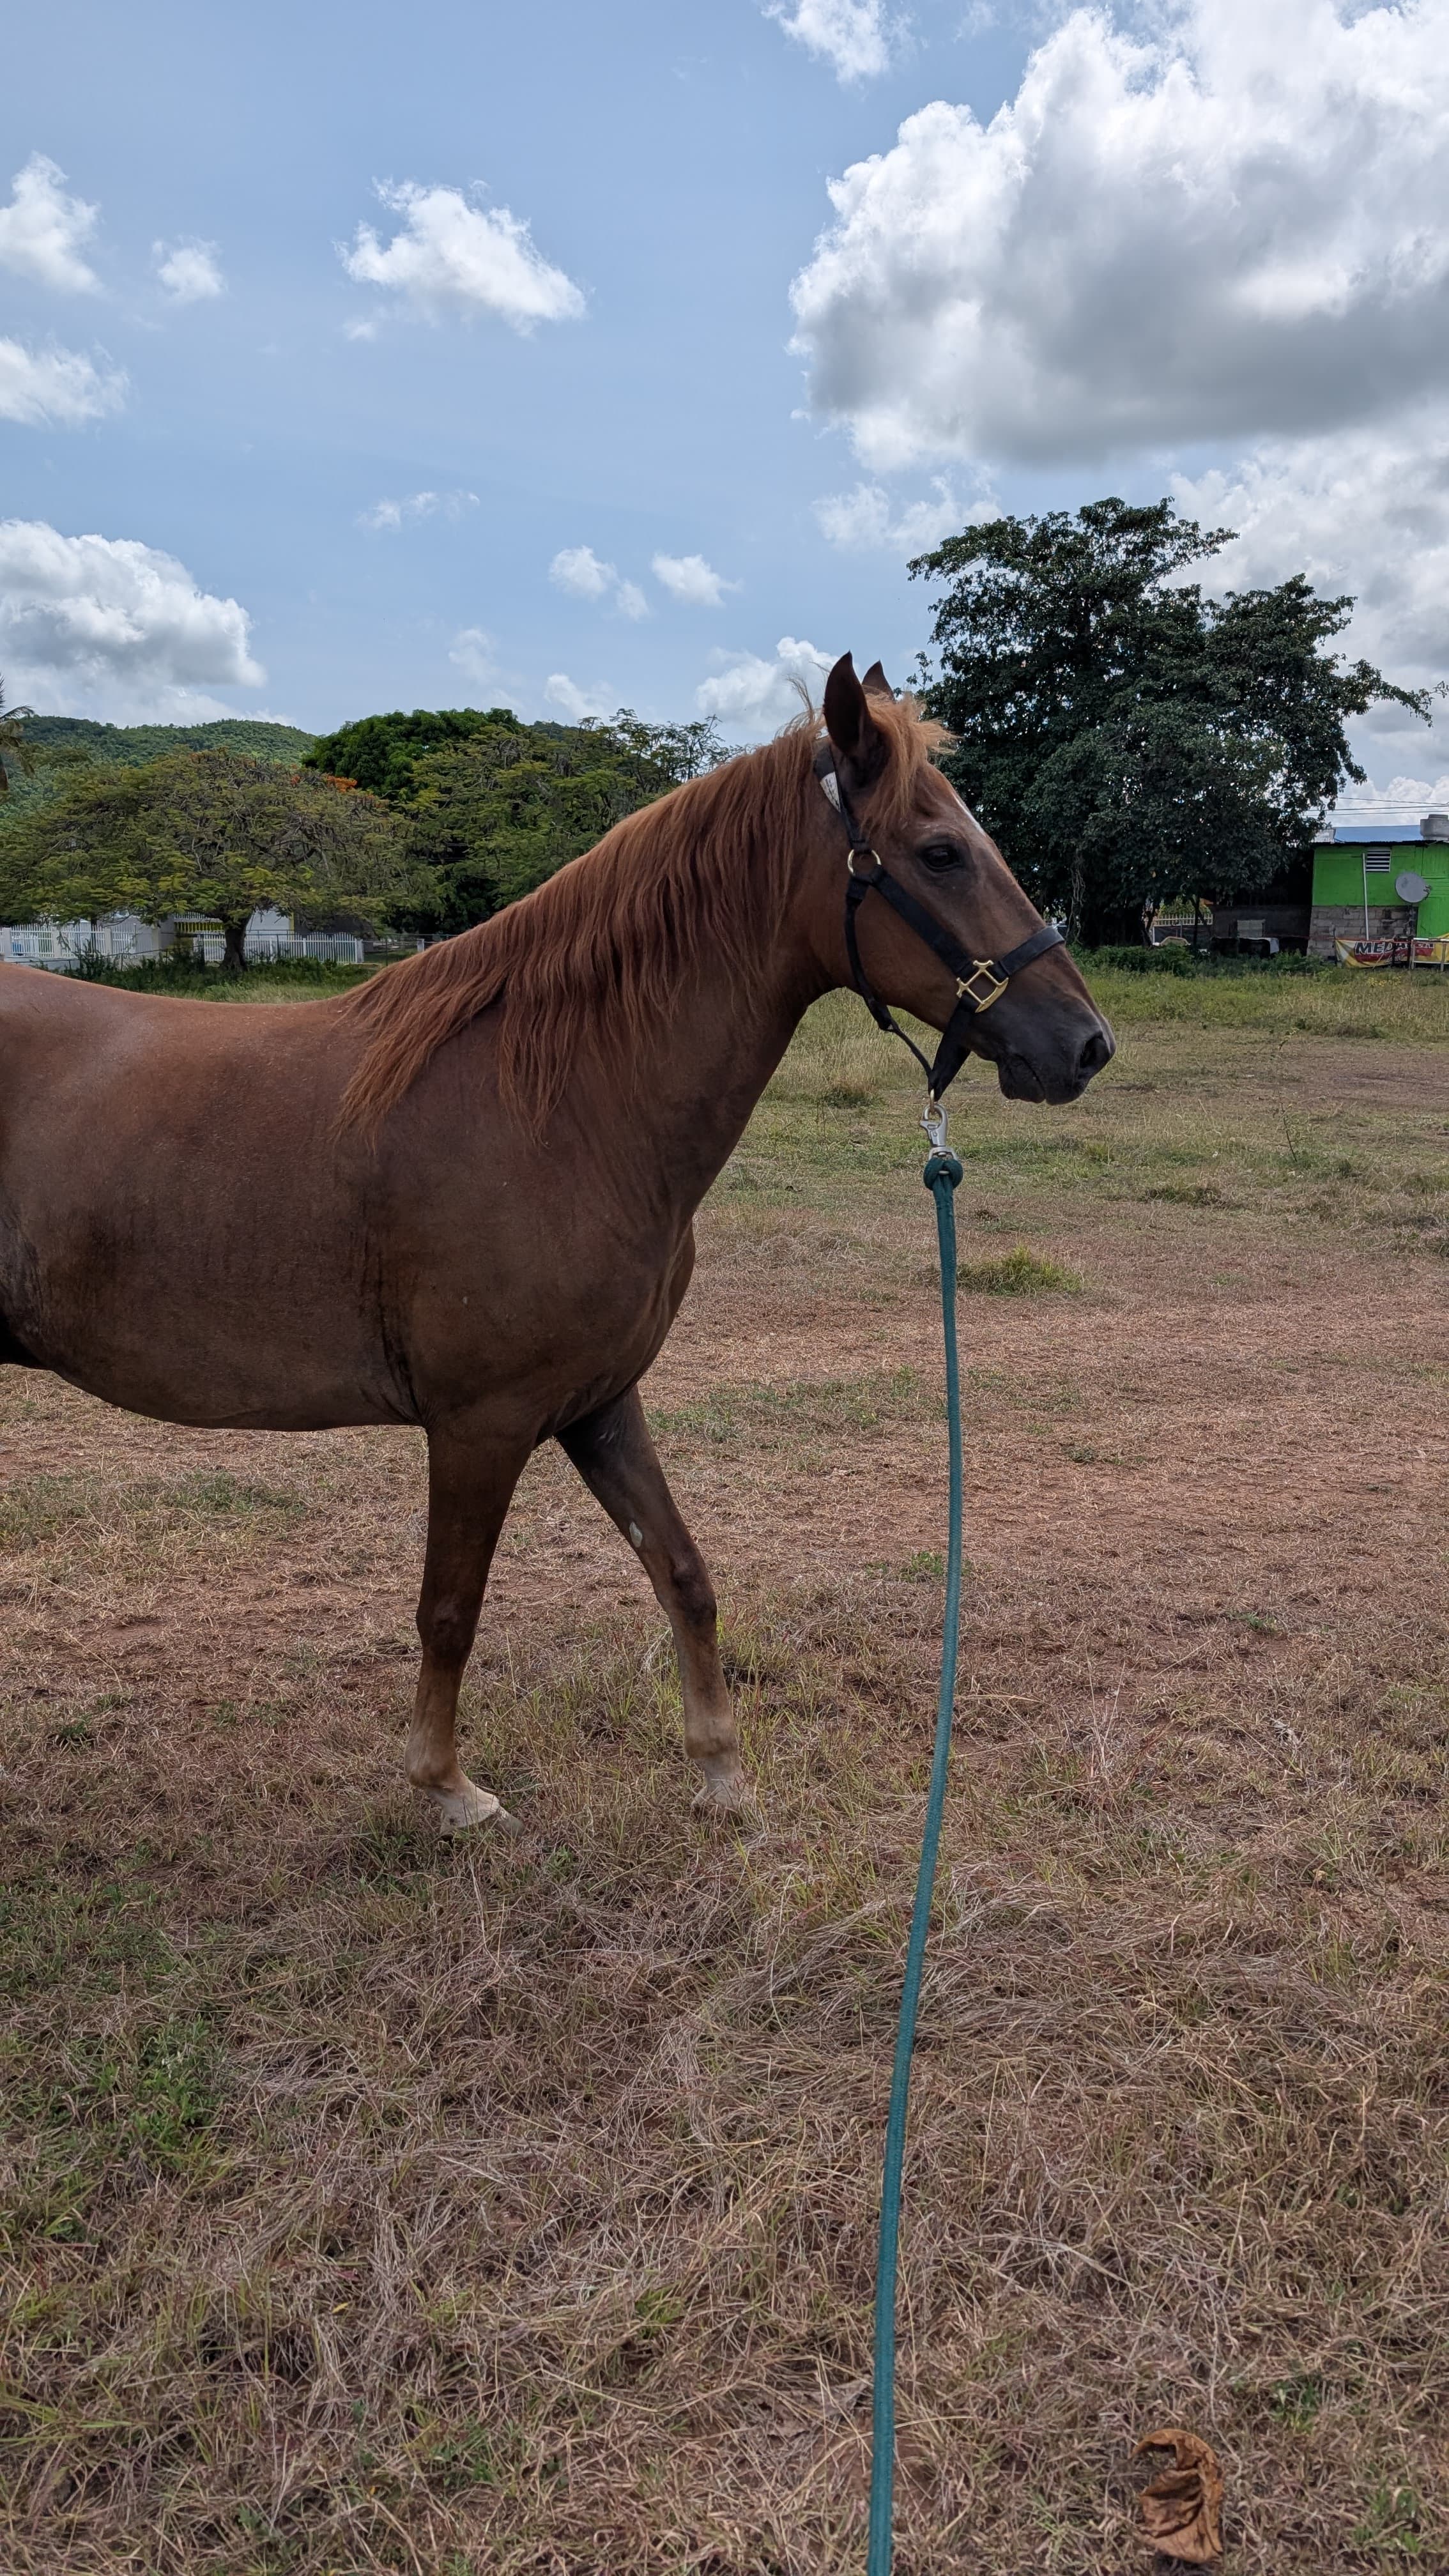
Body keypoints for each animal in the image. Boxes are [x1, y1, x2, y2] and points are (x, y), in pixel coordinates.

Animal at [0, 656, 1112, 1829]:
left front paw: (721, 1771)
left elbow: (684, 1574)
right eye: (940, 852)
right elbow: (450, 1609)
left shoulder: (600, 1402)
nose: (1085, 1044)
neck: (560, 1107)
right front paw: (446, 1787)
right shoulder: (480, 1425)